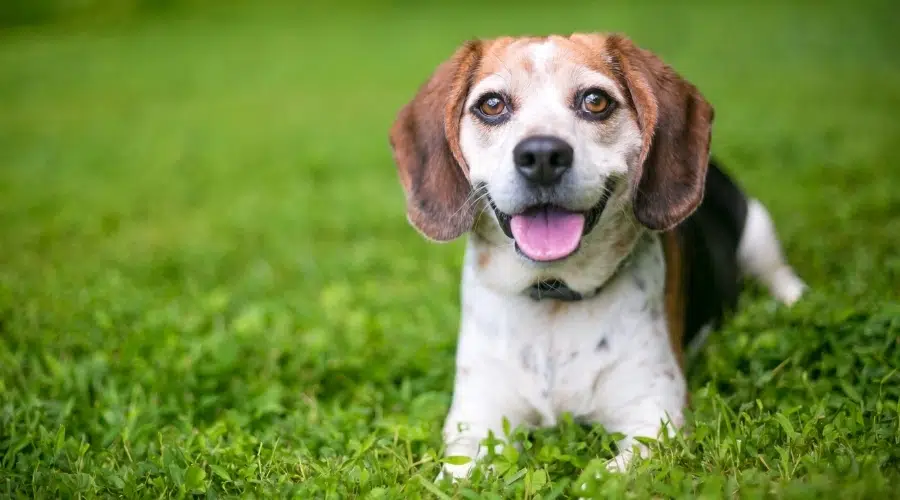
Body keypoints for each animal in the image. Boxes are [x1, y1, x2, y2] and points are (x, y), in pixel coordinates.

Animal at [386, 33, 808, 478]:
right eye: (492, 105)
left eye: (595, 101)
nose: (542, 156)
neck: (553, 294)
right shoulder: (476, 420)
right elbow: (456, 474)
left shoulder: (655, 420)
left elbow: (603, 477)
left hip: (758, 228)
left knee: (778, 272)